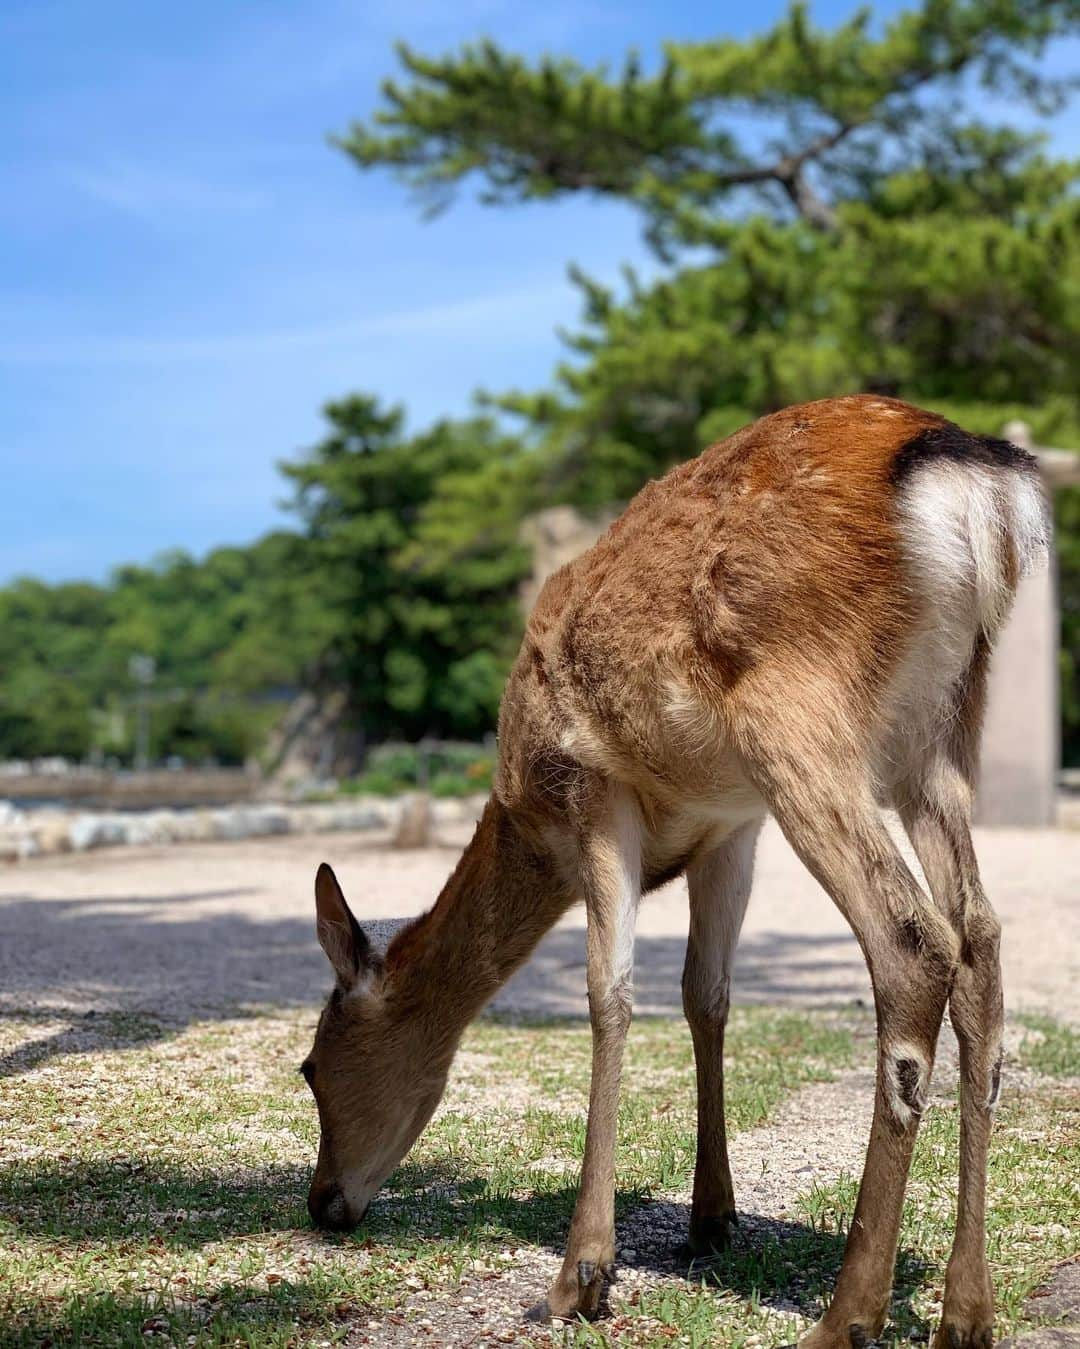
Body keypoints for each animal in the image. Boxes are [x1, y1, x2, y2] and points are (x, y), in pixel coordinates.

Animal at [296, 393, 1046, 1349]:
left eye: (311, 1064)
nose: (323, 1201)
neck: (526, 819)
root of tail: (970, 477)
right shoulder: (730, 825)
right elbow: (706, 993)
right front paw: (710, 1216)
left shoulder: (594, 787)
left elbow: (609, 992)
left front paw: (579, 1275)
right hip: (941, 733)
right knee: (981, 940)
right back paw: (964, 1311)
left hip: (800, 721)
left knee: (913, 940)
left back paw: (847, 1313)